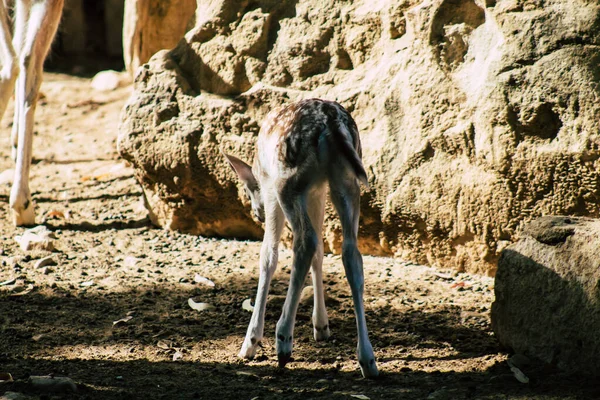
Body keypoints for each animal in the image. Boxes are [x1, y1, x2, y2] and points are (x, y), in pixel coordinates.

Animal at [225, 99, 380, 378]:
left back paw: (283, 340)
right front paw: (321, 326)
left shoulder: (271, 186)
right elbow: (320, 253)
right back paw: (368, 359)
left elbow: (269, 255)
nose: (256, 213)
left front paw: (250, 342)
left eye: (248, 189)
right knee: (349, 252)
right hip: (345, 180)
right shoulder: (317, 189)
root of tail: (332, 123)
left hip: (288, 181)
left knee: (304, 242)